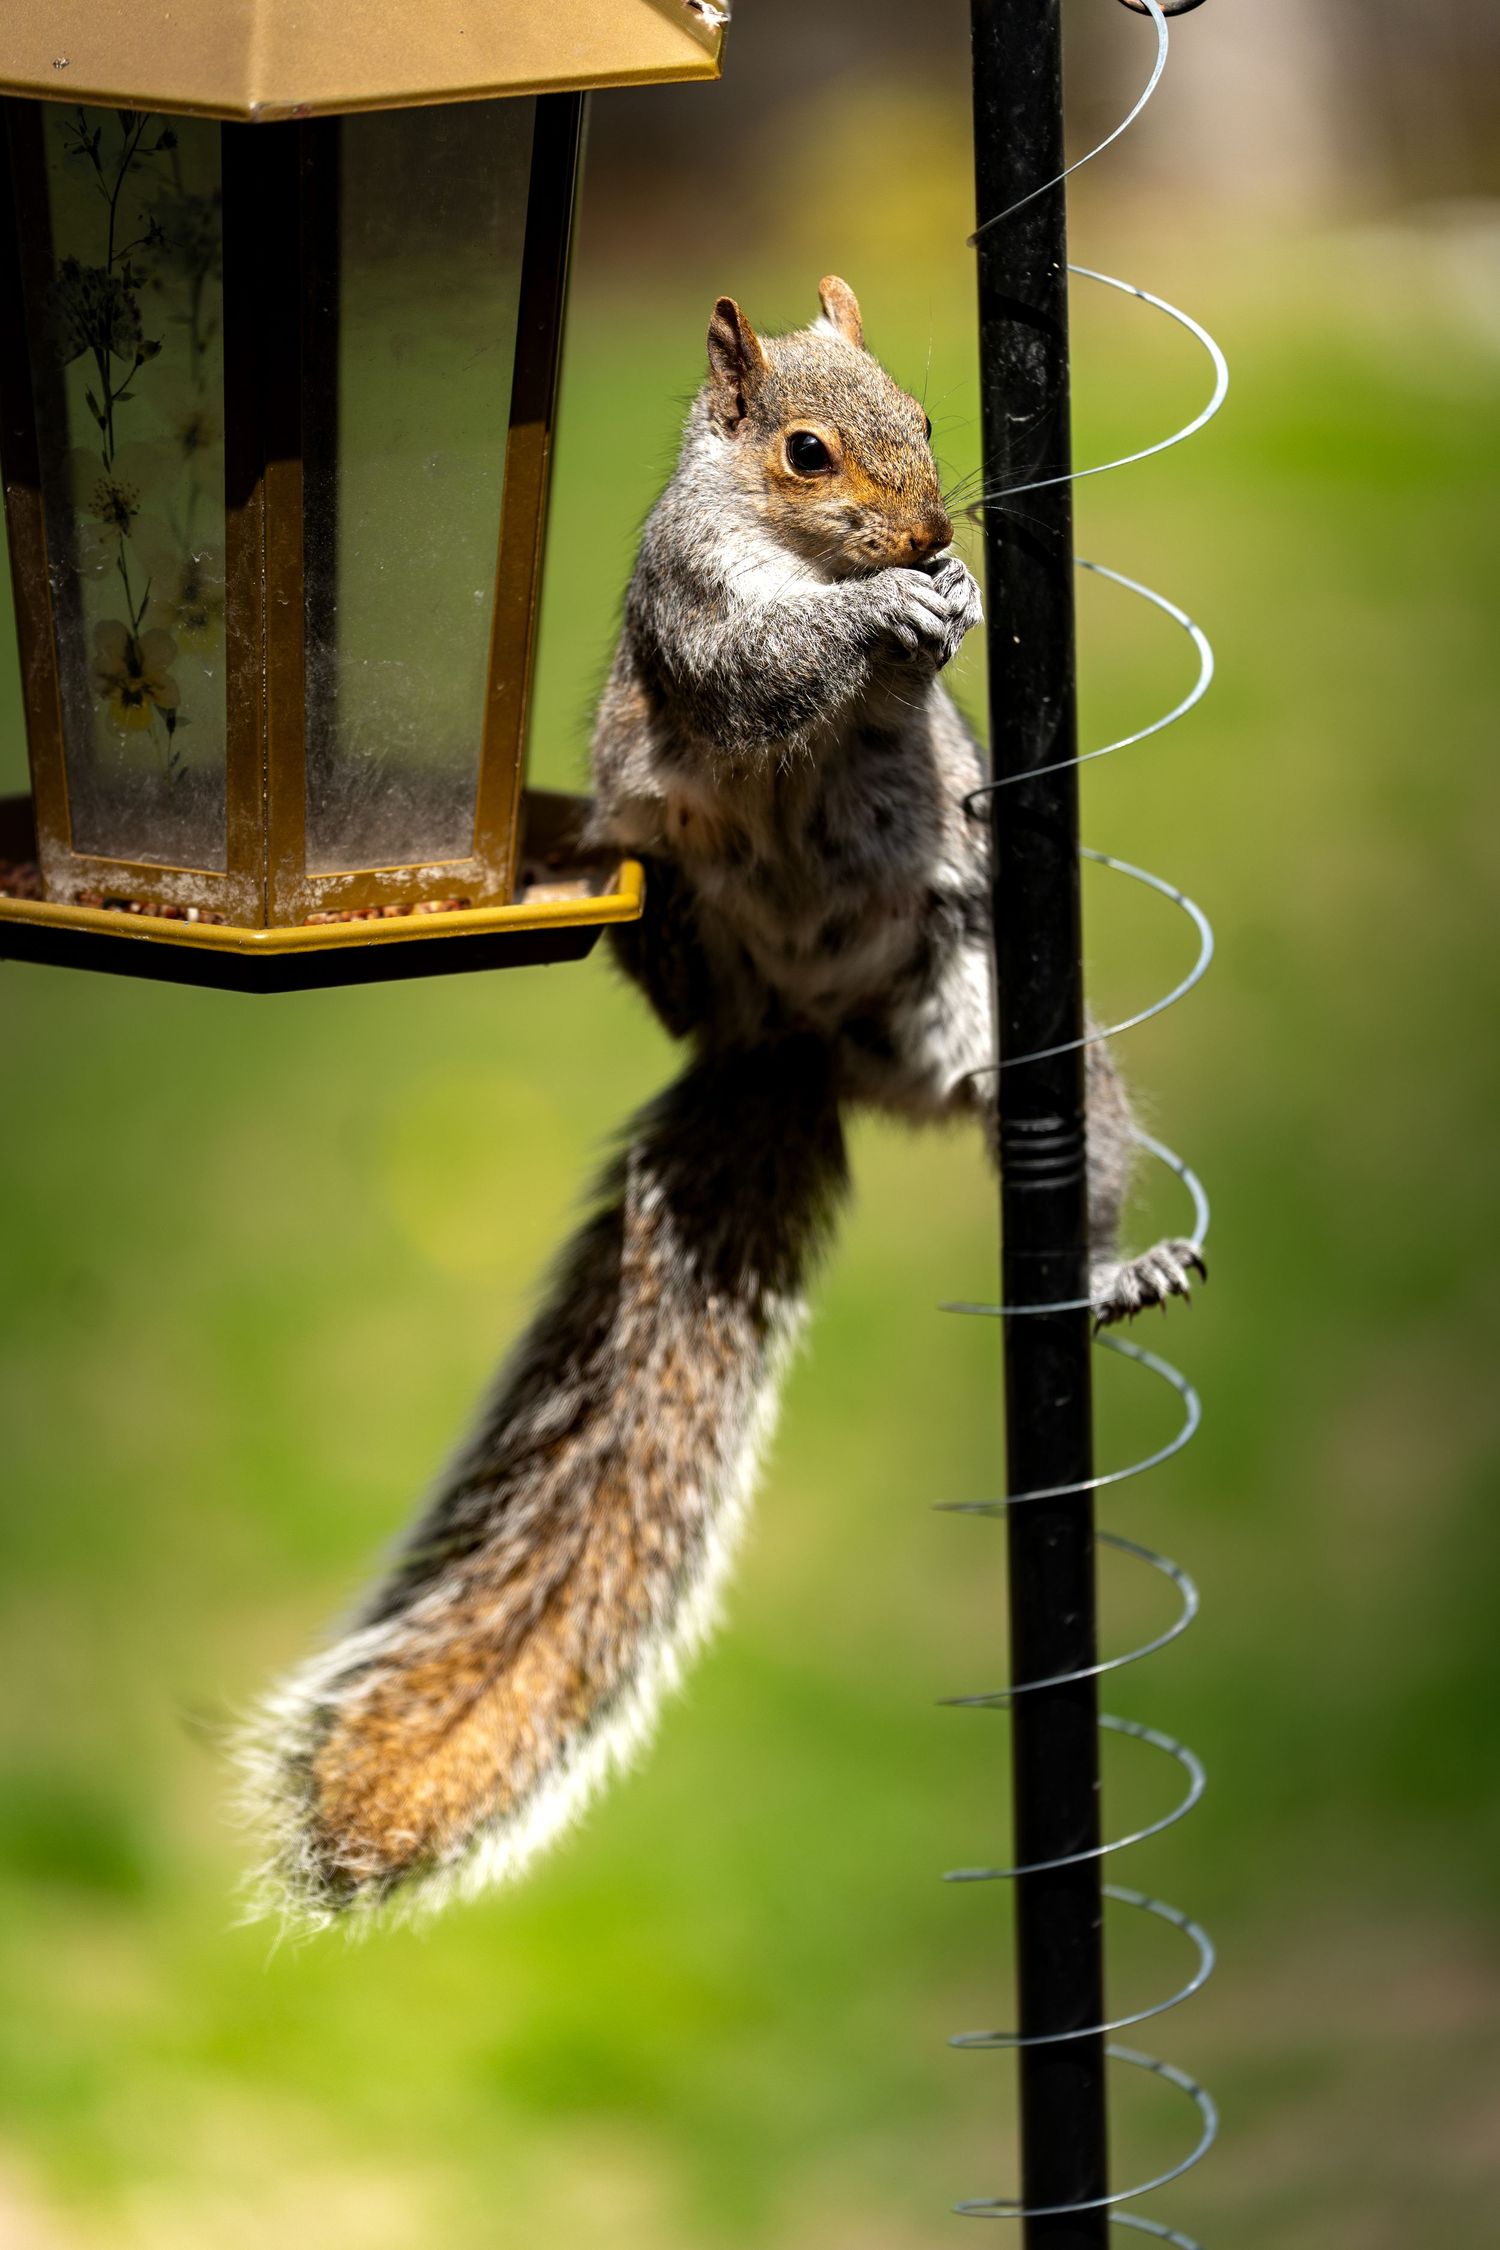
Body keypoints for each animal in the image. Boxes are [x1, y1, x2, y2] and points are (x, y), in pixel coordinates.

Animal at [242, 277, 1205, 1927]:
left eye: (932, 414)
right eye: (807, 451)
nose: (932, 528)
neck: (796, 549)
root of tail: (796, 1051)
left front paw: (950, 605)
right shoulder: (689, 601)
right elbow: (757, 674)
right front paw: (881, 619)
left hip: (986, 1005)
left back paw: (1102, 1262)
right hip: (673, 901)